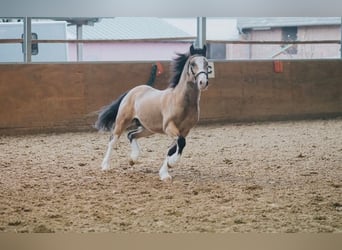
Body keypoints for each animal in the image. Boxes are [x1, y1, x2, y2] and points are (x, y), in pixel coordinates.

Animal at [95, 44, 210, 182]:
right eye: (192, 64)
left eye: (207, 64)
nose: (203, 83)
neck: (180, 101)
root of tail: (132, 91)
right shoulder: (169, 127)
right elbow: (181, 143)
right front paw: (171, 164)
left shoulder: (185, 130)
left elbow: (174, 148)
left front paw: (165, 172)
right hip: (122, 121)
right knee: (113, 140)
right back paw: (105, 166)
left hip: (148, 128)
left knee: (131, 135)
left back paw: (133, 159)